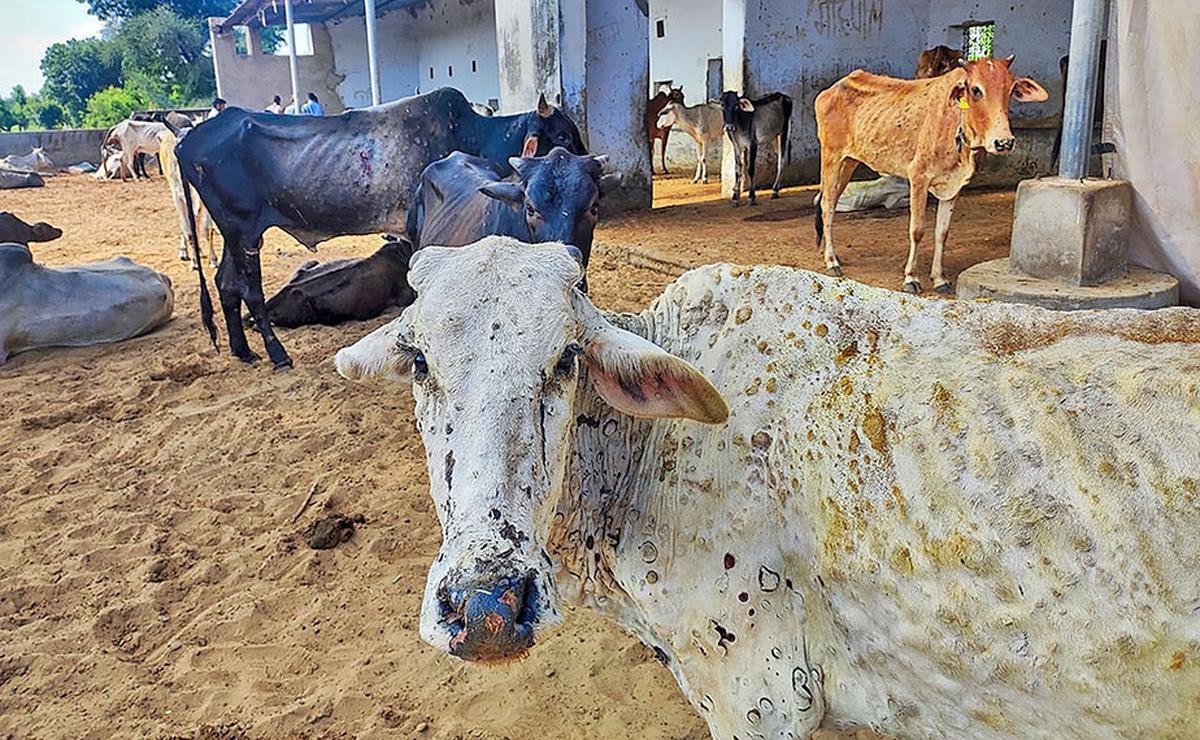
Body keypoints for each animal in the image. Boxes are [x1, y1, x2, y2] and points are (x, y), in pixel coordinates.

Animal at [157, 129, 218, 270]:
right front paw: (195, 262)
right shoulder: (178, 197)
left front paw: (213, 260)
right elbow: (189, 231)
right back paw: (185, 251)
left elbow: (207, 230)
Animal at [815, 56, 1048, 293]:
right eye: (976, 90)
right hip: (831, 157)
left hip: (849, 162)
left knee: (831, 202)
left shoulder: (953, 186)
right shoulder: (918, 177)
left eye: (1010, 89)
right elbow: (917, 230)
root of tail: (833, 88)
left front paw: (940, 279)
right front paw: (911, 278)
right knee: (827, 206)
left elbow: (942, 233)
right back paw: (831, 261)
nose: (1004, 142)